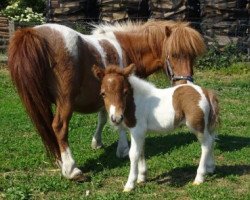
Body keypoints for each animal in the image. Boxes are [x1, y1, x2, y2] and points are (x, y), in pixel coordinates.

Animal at [7, 20, 206, 180]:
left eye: (193, 56)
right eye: (173, 54)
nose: (186, 84)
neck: (128, 48)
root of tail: (33, 33)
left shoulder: (107, 95)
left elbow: (103, 118)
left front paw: (97, 142)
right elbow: (120, 122)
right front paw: (123, 149)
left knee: (47, 127)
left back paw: (60, 161)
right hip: (65, 101)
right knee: (59, 127)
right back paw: (71, 169)